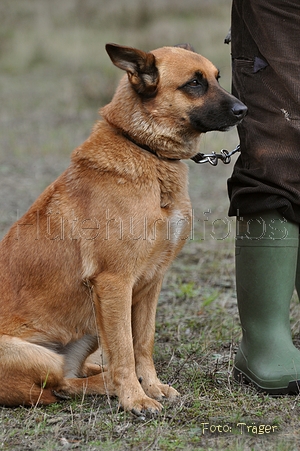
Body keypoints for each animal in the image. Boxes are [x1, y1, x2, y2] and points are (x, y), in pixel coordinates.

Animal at [0, 44, 246, 414]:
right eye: (194, 83)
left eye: (217, 77)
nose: (243, 110)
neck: (146, 149)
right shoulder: (114, 283)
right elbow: (124, 349)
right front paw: (135, 397)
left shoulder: (150, 283)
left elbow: (142, 341)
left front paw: (151, 386)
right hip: (43, 352)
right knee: (62, 385)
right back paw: (111, 385)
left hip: (88, 327)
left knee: (74, 377)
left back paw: (103, 379)